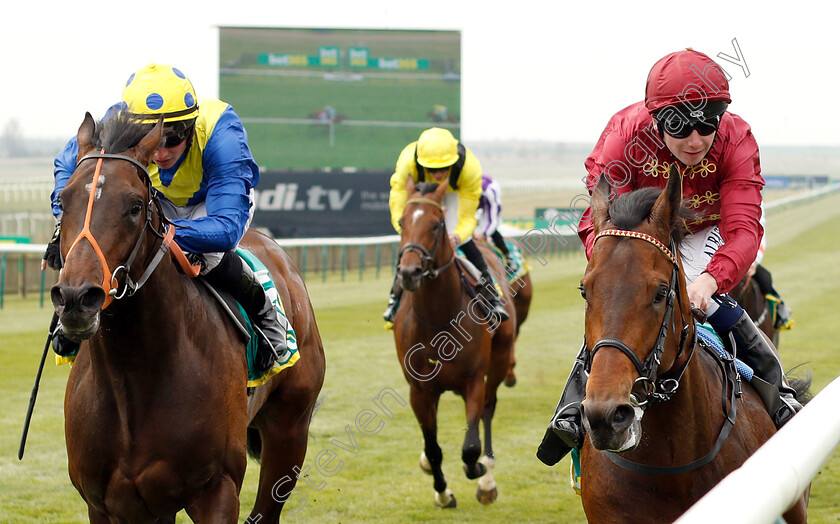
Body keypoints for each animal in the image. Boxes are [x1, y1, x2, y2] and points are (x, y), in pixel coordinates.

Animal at [50, 112, 324, 520]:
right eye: (63, 200)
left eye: (134, 205)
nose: (75, 298)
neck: (132, 378)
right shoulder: (108, 503)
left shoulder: (217, 490)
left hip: (289, 430)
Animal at [392, 177, 520, 508]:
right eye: (401, 222)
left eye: (436, 224)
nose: (409, 272)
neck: (438, 318)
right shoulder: (419, 389)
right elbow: (433, 447)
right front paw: (442, 491)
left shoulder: (473, 380)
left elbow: (470, 447)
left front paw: (480, 472)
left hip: (500, 358)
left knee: (488, 409)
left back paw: (487, 476)